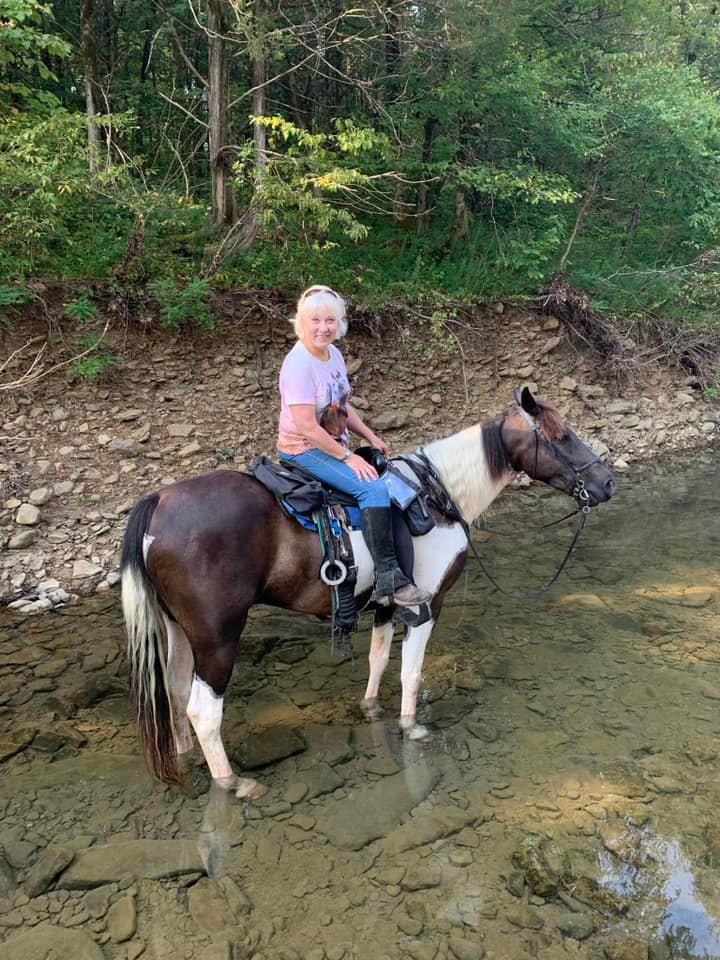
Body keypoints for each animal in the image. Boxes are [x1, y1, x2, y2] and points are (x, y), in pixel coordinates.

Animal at [120, 387, 616, 799]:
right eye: (563, 436)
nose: (607, 483)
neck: (438, 498)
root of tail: (159, 502)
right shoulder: (427, 605)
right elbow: (411, 673)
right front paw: (412, 728)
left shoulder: (387, 605)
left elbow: (378, 659)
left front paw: (372, 709)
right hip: (218, 636)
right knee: (204, 710)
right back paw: (234, 783)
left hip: (179, 631)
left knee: (175, 692)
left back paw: (186, 756)